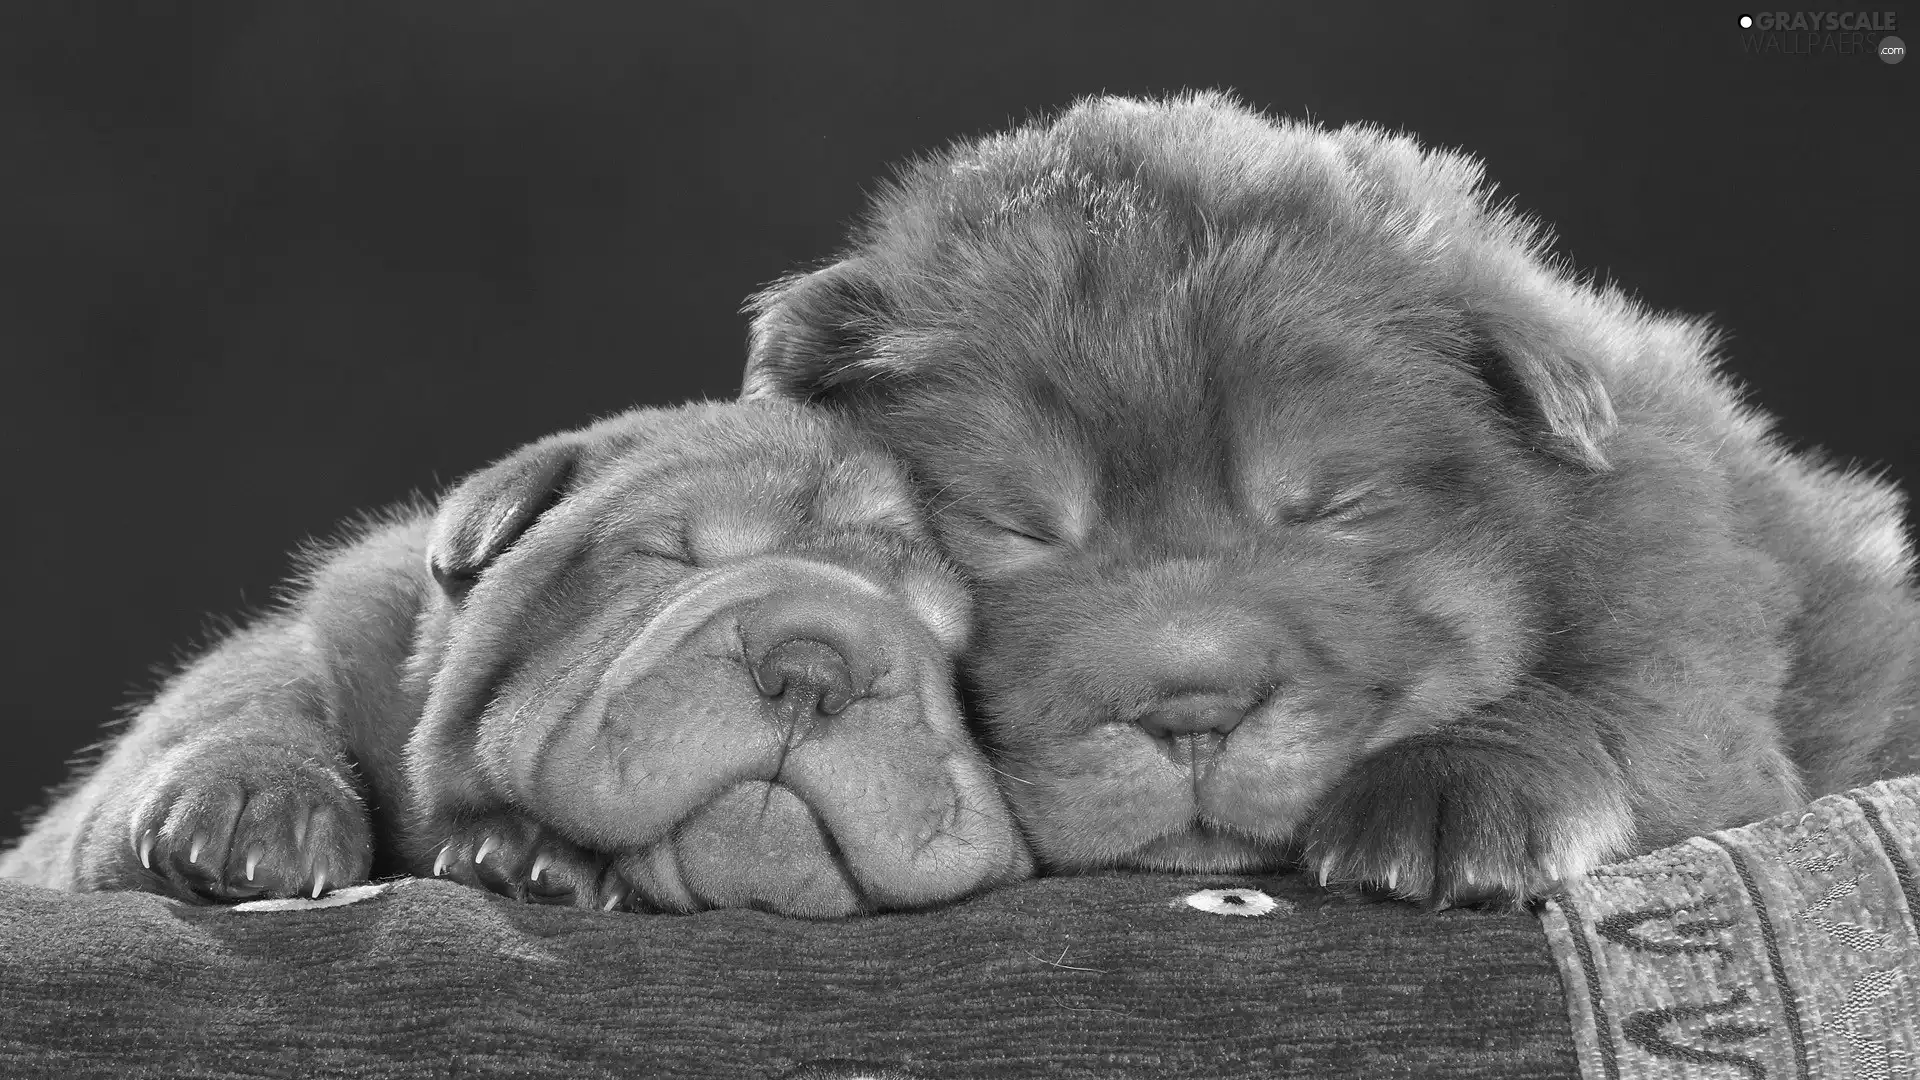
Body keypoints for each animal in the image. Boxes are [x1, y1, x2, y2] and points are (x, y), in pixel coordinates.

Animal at [3, 399, 1036, 910]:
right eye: (668, 556)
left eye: (960, 662)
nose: (815, 666)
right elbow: (256, 697)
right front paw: (256, 800)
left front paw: (531, 859)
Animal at [737, 90, 1920, 899]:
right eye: (1015, 527)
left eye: (1329, 506)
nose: (1193, 712)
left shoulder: (1683, 569)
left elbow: (1633, 689)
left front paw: (1455, 790)